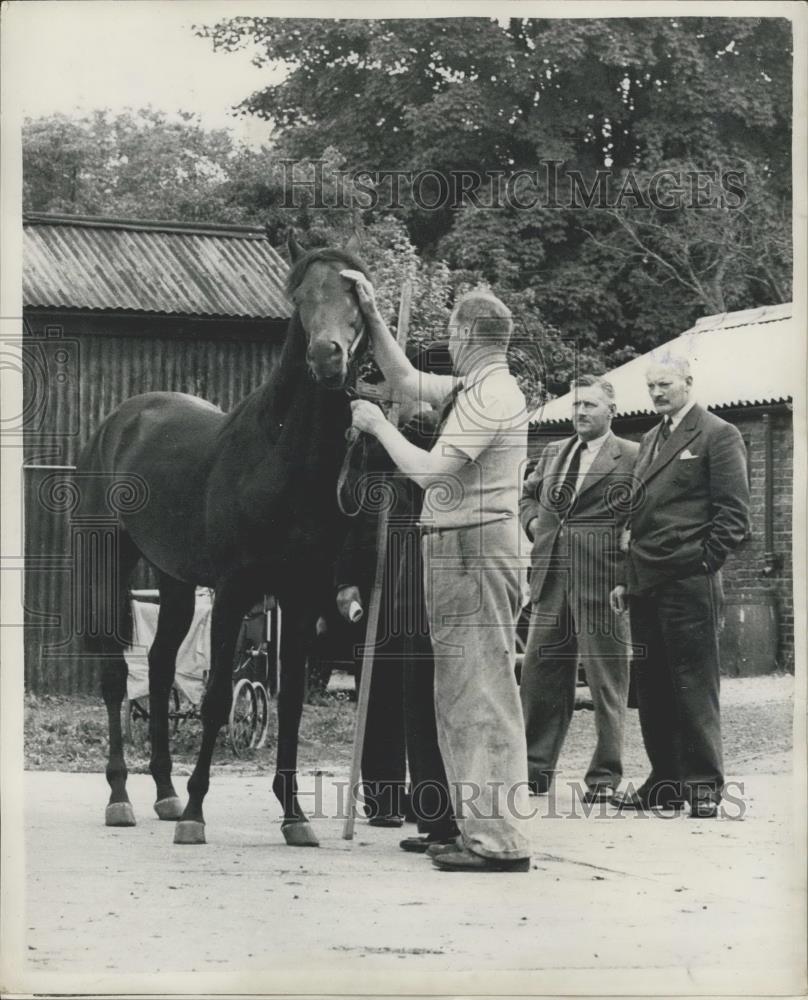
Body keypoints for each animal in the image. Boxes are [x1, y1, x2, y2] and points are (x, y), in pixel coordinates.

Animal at [74, 232, 370, 844]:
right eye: (300, 298)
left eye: (356, 298)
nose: (327, 356)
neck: (280, 460)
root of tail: (121, 419)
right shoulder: (235, 592)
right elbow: (213, 703)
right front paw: (195, 813)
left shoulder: (301, 597)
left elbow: (291, 705)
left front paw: (294, 814)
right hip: (110, 565)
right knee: (117, 677)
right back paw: (121, 798)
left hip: (177, 583)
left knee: (160, 668)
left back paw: (163, 791)